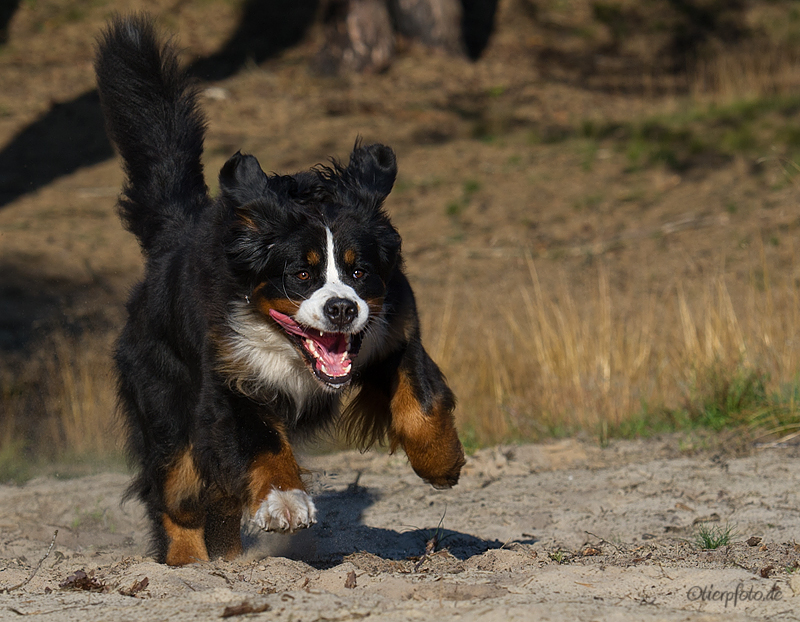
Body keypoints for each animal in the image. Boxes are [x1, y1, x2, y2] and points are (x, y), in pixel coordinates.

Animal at [94, 14, 466, 568]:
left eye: (359, 272)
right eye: (301, 275)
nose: (341, 309)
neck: (290, 352)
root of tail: (174, 232)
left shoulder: (393, 331)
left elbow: (419, 402)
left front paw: (442, 461)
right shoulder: (231, 374)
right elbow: (260, 444)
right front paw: (284, 502)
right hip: (163, 397)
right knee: (179, 496)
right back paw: (190, 564)